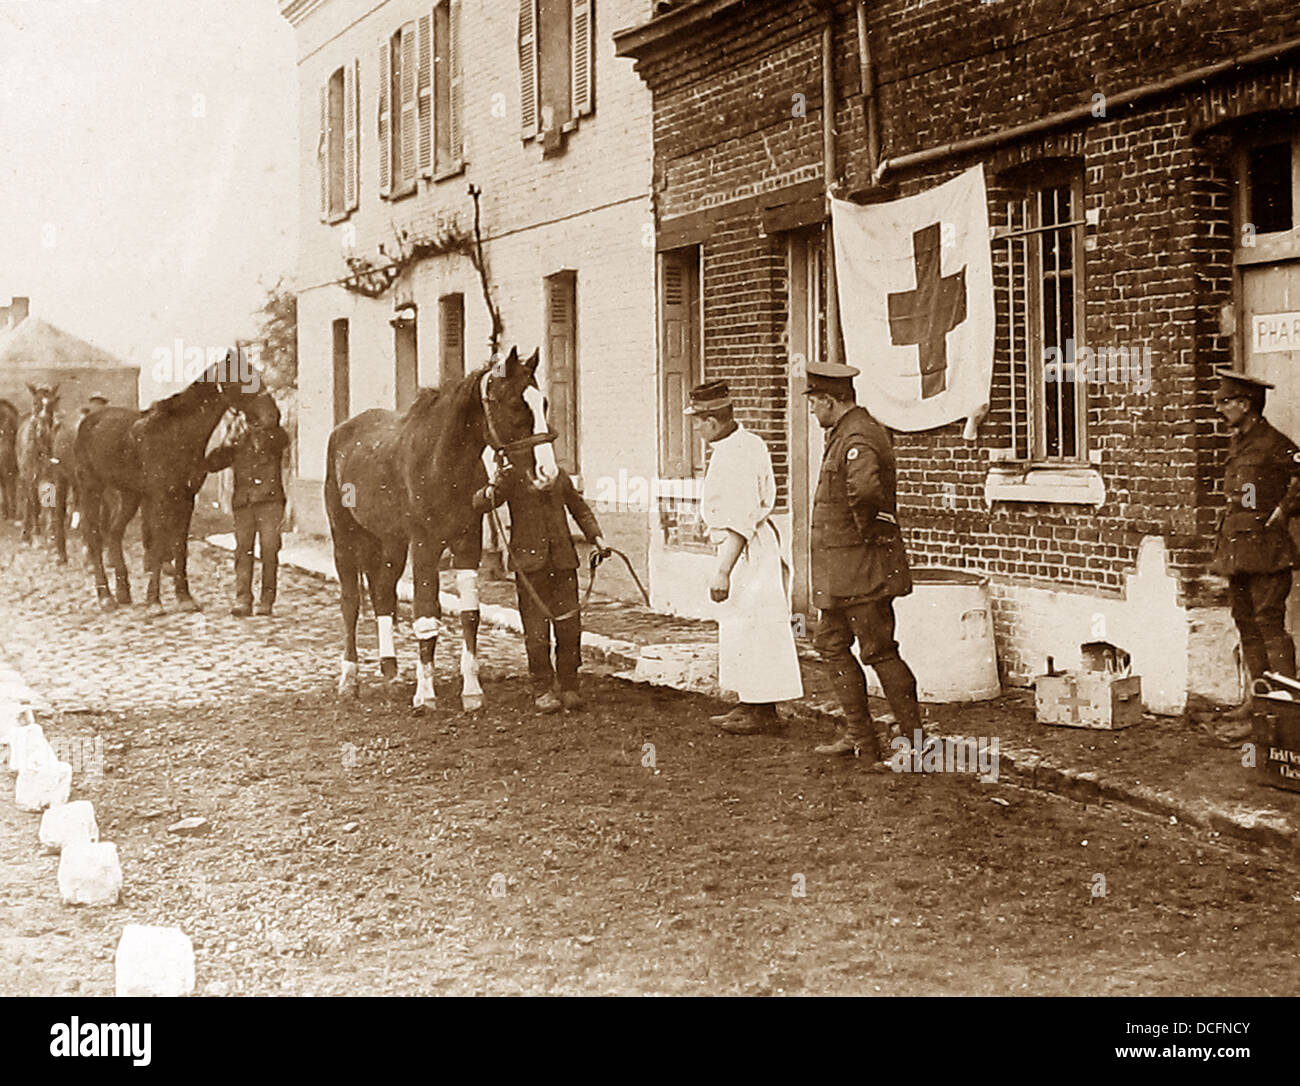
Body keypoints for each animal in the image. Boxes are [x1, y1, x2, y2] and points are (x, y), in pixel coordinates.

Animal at [74, 353, 273, 611]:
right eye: (243, 377)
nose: (273, 414)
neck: (177, 436)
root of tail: (89, 420)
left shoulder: (186, 498)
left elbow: (180, 545)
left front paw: (184, 597)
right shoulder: (160, 498)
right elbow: (158, 545)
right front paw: (154, 600)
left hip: (130, 494)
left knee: (114, 532)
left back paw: (123, 592)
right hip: (91, 488)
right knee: (94, 535)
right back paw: (105, 596)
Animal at [325, 343, 559, 707]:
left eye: (543, 402)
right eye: (514, 404)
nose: (548, 472)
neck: (441, 462)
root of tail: (343, 430)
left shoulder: (467, 544)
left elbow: (470, 614)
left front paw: (472, 691)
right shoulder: (424, 546)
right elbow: (425, 616)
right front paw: (425, 695)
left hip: (390, 542)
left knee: (383, 595)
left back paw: (391, 672)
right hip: (345, 539)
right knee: (350, 603)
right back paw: (349, 679)